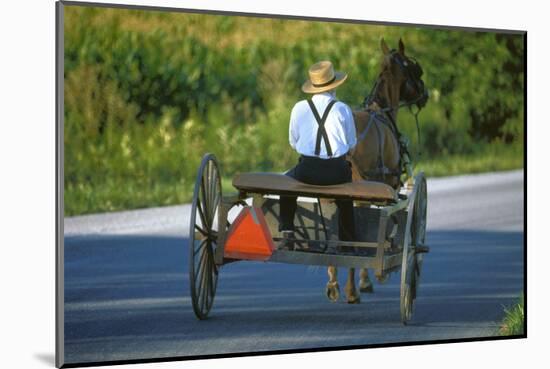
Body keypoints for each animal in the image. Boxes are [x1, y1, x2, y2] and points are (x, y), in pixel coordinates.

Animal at [328, 36, 432, 302]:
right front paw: (368, 279)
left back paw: (333, 282)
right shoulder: (386, 186)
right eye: (415, 68)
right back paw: (352, 289)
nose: (425, 94)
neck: (381, 109)